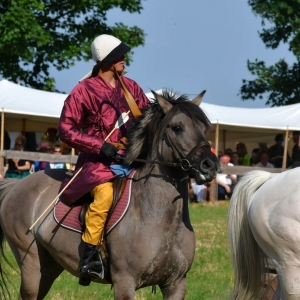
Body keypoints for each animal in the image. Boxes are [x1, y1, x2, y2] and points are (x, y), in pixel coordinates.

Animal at [0, 90, 218, 298]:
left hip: (49, 268)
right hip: (31, 265)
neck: (161, 220)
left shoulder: (176, 284)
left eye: (204, 128)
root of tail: (16, 185)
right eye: (178, 127)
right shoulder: (125, 282)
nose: (210, 164)